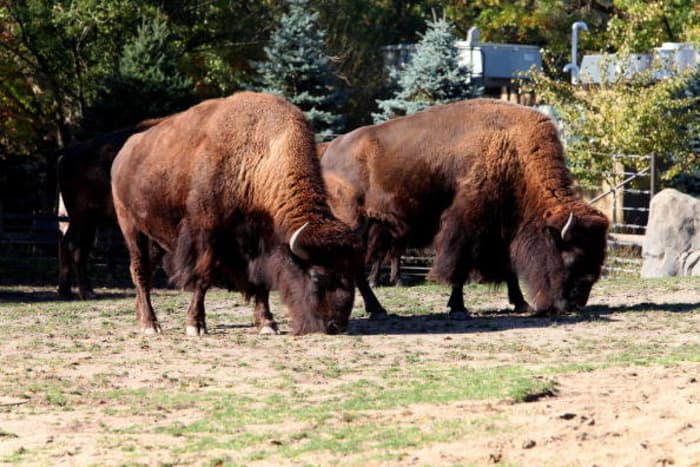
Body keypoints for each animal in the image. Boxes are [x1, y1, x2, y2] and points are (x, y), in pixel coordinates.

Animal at [56, 118, 163, 300]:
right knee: (72, 245)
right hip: (82, 218)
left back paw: (79, 292)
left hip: (89, 222)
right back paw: (76, 292)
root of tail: (66, 157)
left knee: (77, 248)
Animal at [113, 91, 360, 336]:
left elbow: (260, 281)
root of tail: (123, 154)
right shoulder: (207, 235)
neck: (258, 155)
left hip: (155, 238)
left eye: (350, 271)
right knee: (140, 272)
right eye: (317, 277)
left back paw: (142, 320)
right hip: (132, 230)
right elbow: (203, 276)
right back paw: (150, 325)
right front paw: (195, 325)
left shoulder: (259, 242)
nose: (336, 325)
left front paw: (268, 324)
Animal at [320, 97, 608, 320]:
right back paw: (377, 309)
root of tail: (329, 151)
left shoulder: (502, 229)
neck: (513, 150)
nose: (573, 305)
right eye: (572, 257)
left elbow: (508, 267)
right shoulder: (466, 225)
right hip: (355, 223)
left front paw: (521, 302)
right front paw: (458, 307)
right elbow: (459, 265)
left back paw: (376, 307)